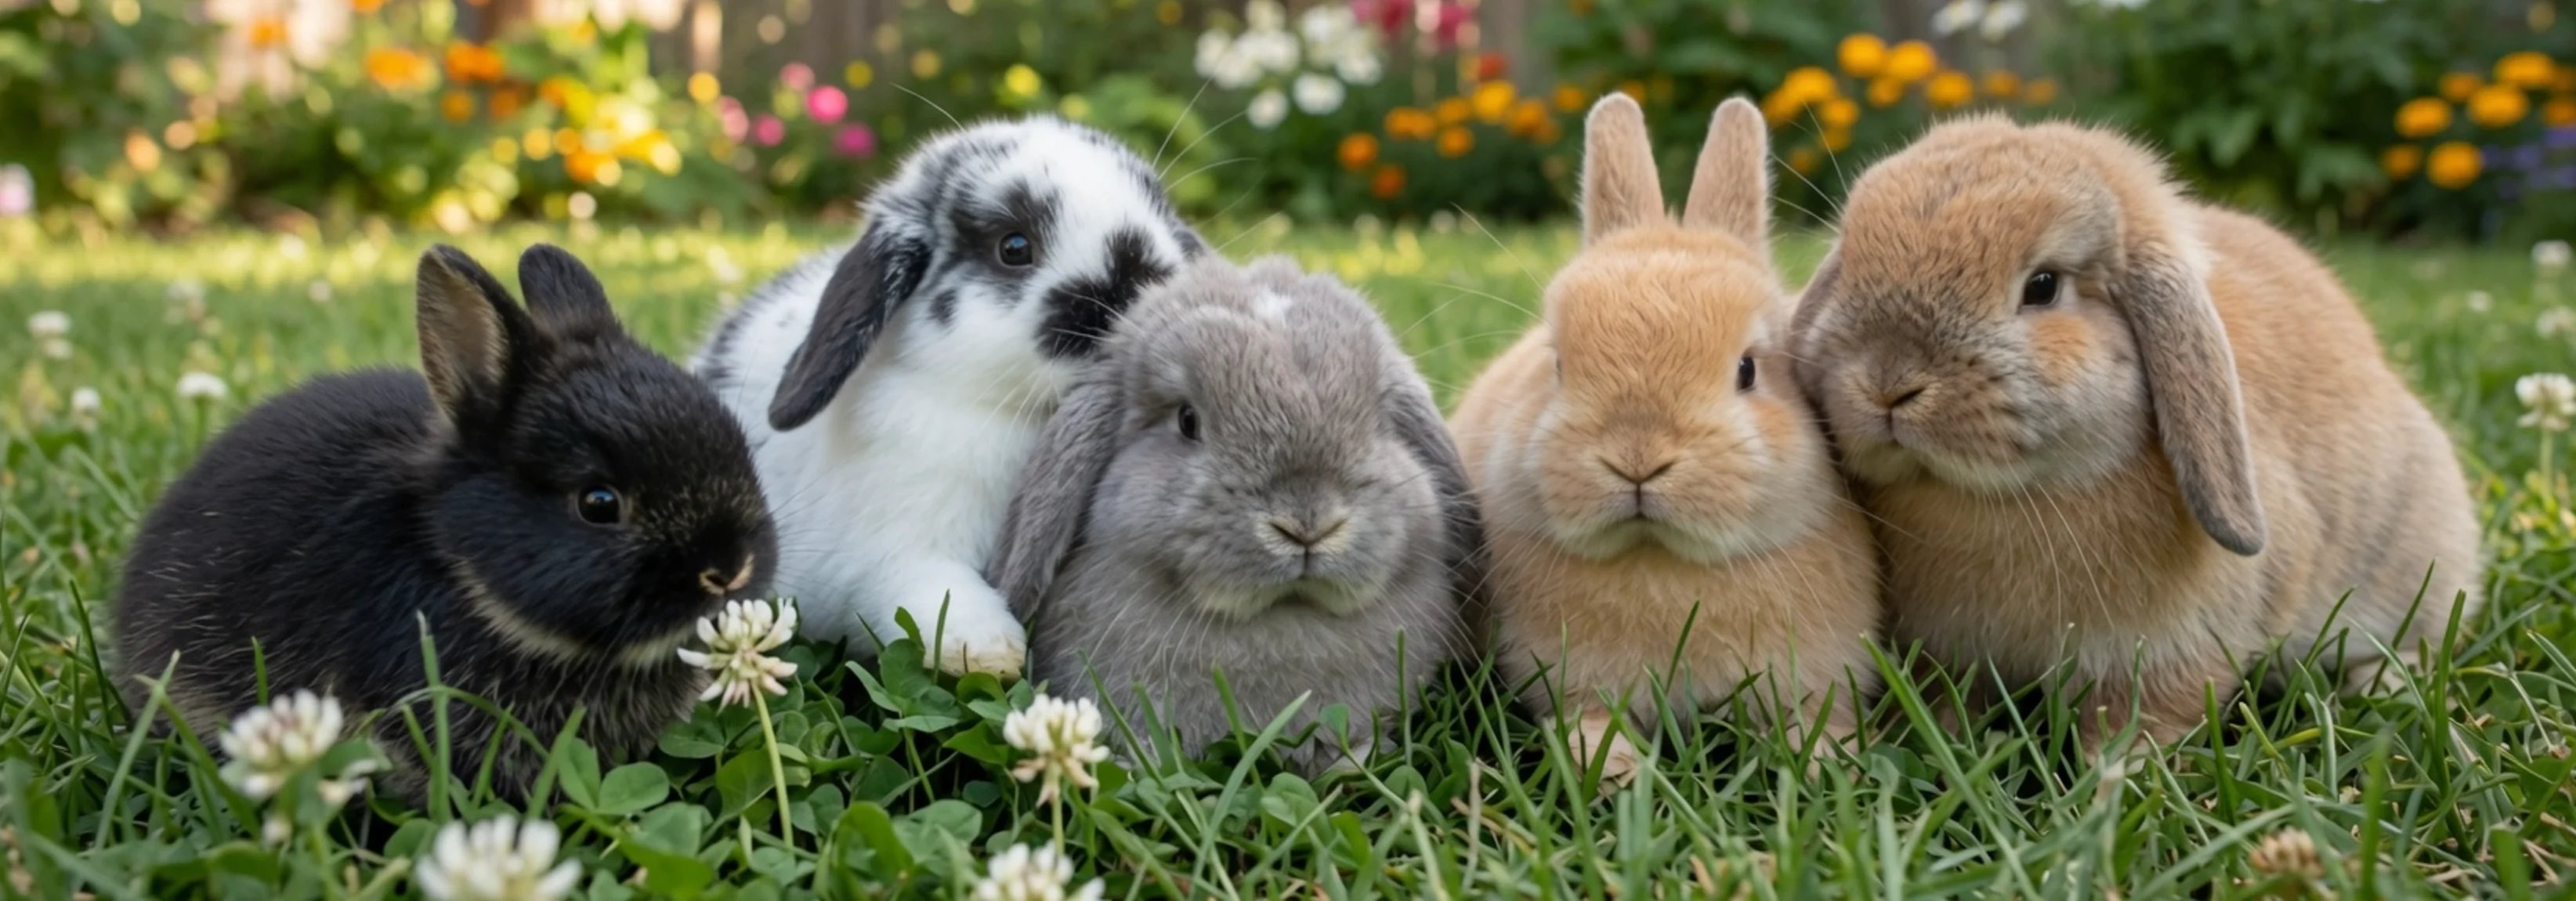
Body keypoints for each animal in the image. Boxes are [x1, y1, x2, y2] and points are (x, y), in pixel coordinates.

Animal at [692, 115, 1204, 679]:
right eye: (1014, 247)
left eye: (1161, 219)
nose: (1135, 294)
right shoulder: (889, 553)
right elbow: (933, 591)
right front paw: (990, 650)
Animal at [1446, 95, 1882, 789]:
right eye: (1558, 363)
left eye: (1748, 370)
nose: (1637, 460)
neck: (1661, 560)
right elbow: (1590, 720)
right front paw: (1610, 772)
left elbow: (1816, 718)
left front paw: (1825, 767)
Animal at [1787, 115, 2483, 749]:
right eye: (1851, 262)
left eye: (2043, 286)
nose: (1888, 383)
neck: (2007, 500)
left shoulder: (2169, 657)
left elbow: (2133, 731)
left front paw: (2108, 790)